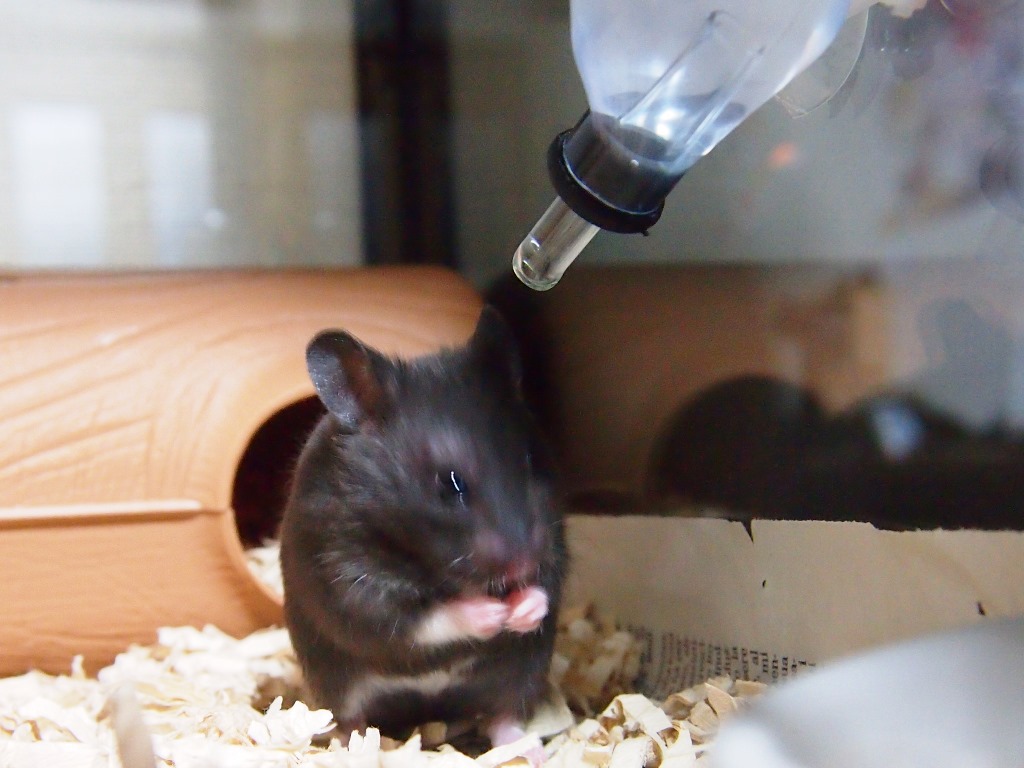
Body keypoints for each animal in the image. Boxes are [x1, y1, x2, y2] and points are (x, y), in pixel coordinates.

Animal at [279, 307, 566, 754]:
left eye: (530, 461)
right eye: (450, 482)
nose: (521, 566)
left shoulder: (553, 542)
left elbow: (547, 588)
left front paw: (523, 610)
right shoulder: (348, 581)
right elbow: (425, 617)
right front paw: (492, 614)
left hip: (521, 672)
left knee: (503, 715)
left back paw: (530, 751)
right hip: (334, 682)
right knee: (351, 718)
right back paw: (352, 745)